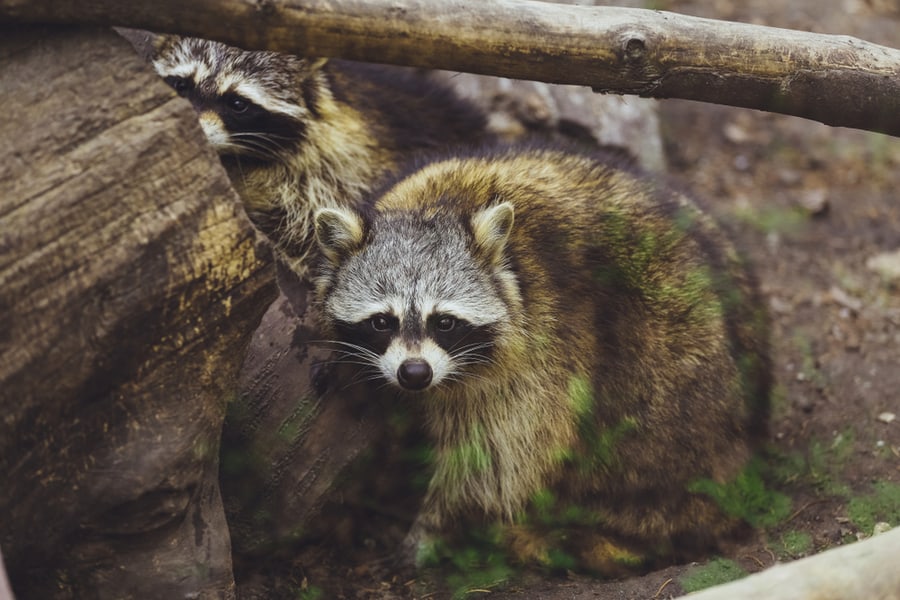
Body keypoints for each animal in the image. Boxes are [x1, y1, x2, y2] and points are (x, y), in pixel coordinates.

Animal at [312, 143, 768, 576]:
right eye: (381, 322)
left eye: (444, 322)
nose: (414, 374)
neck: (438, 206)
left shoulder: (542, 354)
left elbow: (497, 463)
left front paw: (432, 528)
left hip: (676, 379)